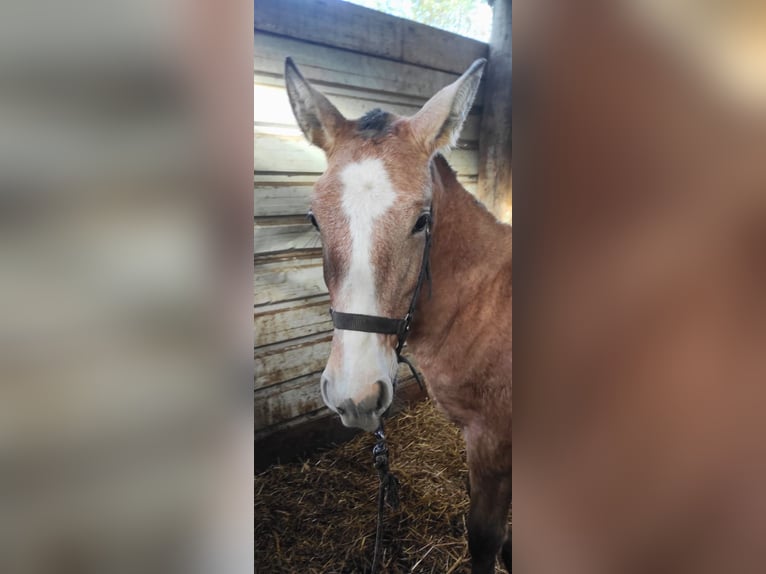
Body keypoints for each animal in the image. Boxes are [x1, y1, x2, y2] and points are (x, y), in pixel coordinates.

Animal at [284, 58, 512, 574]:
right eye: (313, 220)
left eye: (422, 221)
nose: (356, 396)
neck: (485, 301)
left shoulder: (492, 443)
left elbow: (485, 537)